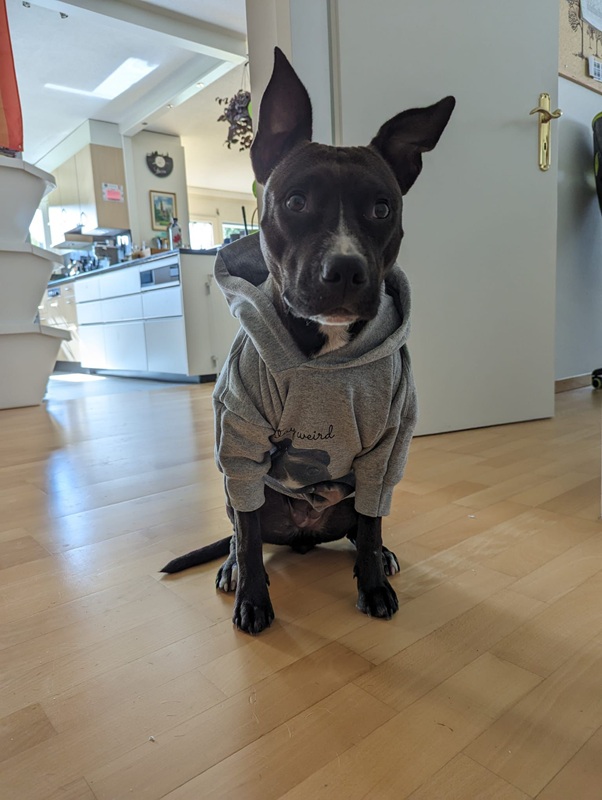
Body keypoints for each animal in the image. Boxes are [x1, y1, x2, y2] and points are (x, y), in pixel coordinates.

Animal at [161, 48, 455, 635]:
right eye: (295, 202)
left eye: (382, 208)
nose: (344, 270)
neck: (327, 349)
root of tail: (303, 535)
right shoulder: (240, 445)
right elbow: (249, 538)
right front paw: (253, 597)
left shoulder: (386, 452)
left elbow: (371, 528)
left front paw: (373, 583)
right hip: (240, 491)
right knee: (241, 530)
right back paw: (232, 566)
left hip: (352, 495)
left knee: (363, 528)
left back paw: (378, 557)